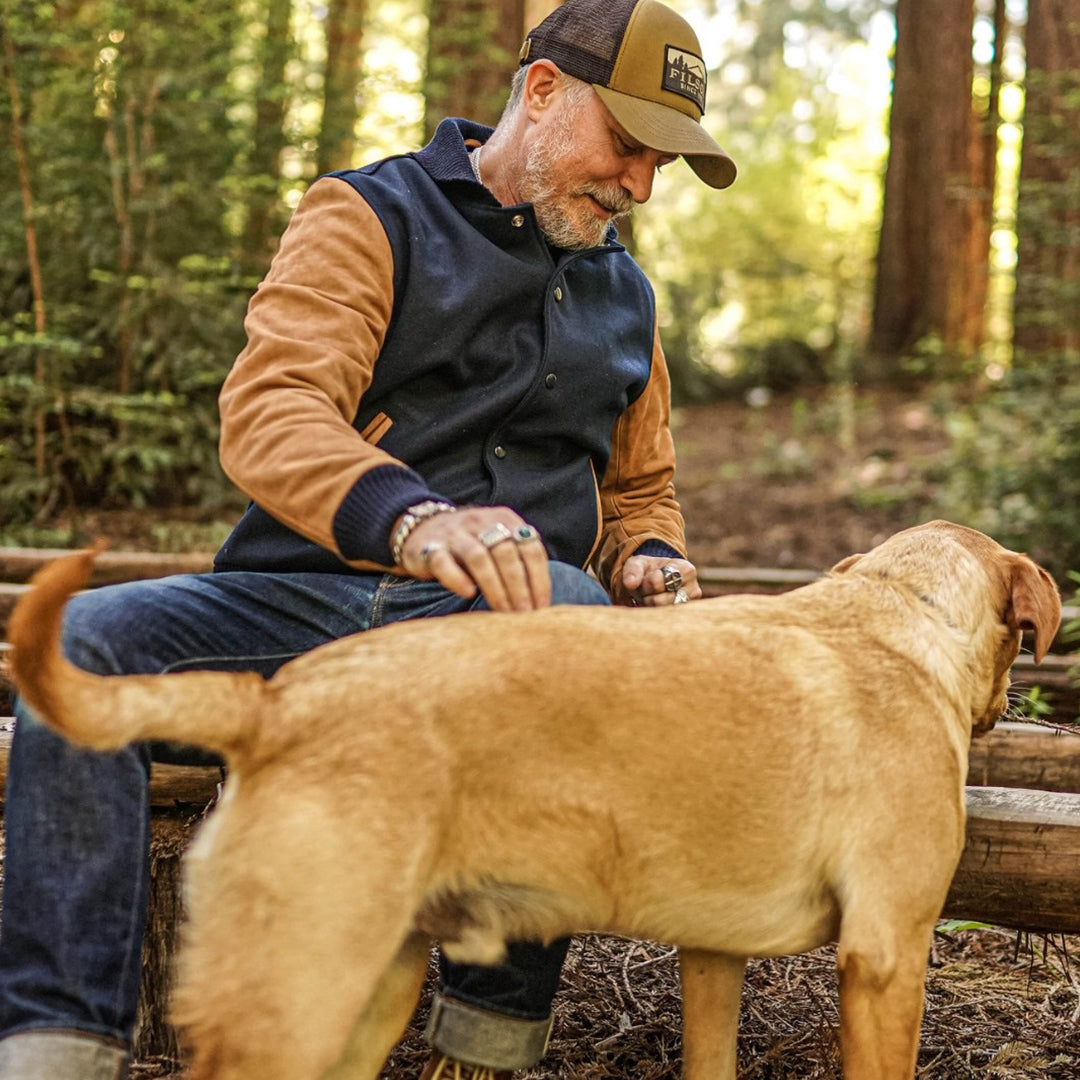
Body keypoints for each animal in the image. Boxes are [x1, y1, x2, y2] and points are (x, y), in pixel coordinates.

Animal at [4, 518, 1058, 1075]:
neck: (901, 615)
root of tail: (278, 699)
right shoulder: (886, 959)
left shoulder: (712, 955)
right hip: (296, 996)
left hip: (371, 990)